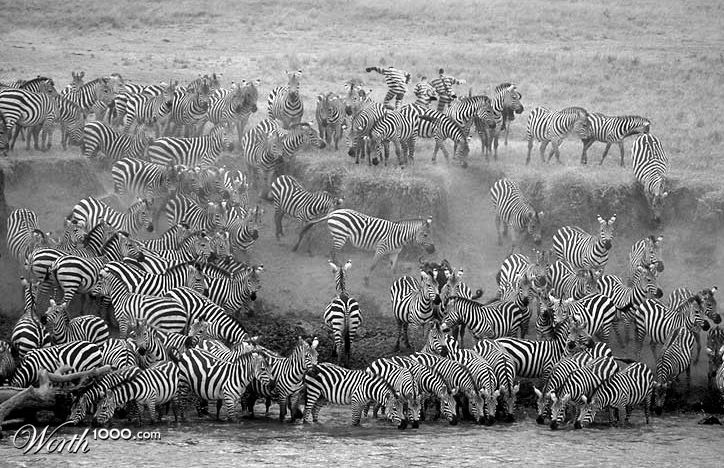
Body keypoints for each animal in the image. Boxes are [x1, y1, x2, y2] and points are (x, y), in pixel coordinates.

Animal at [294, 209, 435, 278]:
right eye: (425, 235)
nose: (433, 250)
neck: (399, 236)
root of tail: (333, 213)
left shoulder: (394, 253)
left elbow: (393, 268)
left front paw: (396, 281)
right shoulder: (381, 249)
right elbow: (373, 265)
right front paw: (366, 280)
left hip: (337, 235)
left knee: (331, 250)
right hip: (340, 236)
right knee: (333, 251)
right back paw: (339, 266)